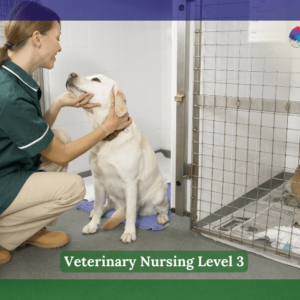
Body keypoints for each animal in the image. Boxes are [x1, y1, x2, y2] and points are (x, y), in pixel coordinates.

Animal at [66, 73, 169, 244]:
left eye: (96, 79)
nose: (71, 74)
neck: (109, 137)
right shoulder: (97, 181)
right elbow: (98, 205)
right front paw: (93, 225)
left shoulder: (130, 183)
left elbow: (130, 214)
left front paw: (129, 233)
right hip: (107, 191)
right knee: (107, 204)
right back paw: (97, 212)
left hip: (158, 195)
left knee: (163, 207)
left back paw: (162, 217)